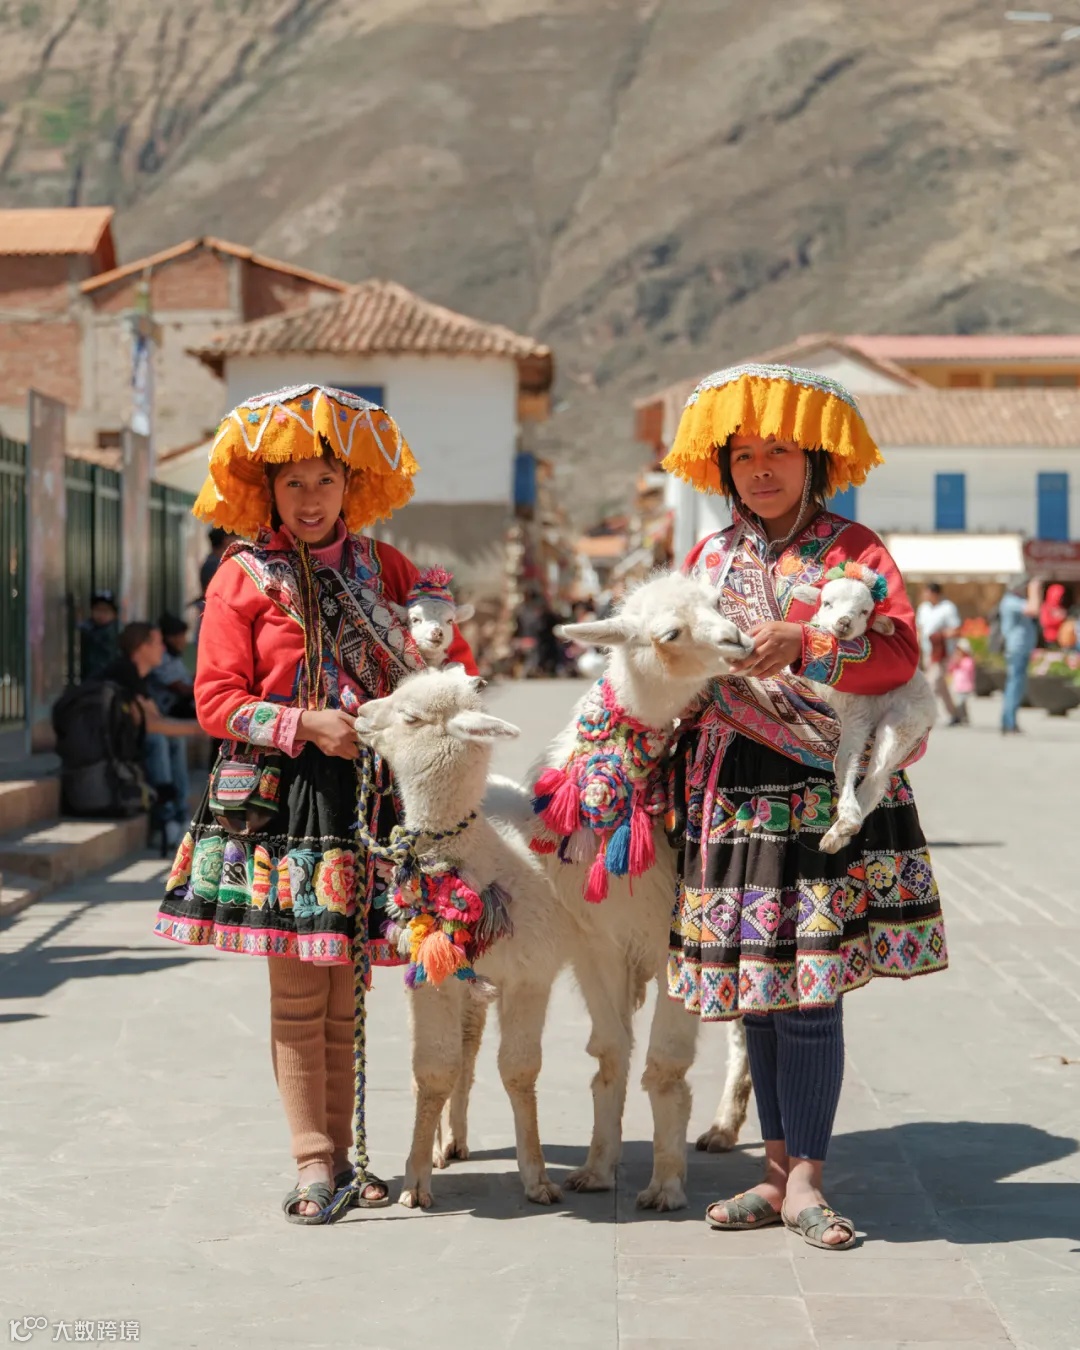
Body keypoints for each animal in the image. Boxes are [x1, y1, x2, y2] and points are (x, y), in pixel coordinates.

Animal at [353, 666, 565, 1210]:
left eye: (410, 716)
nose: (360, 712)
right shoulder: (432, 977)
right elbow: (431, 1073)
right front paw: (414, 1180)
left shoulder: (531, 973)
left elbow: (518, 1071)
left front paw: (537, 1177)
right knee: (455, 1058)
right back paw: (439, 1145)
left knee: (469, 1050)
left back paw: (456, 1138)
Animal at [444, 571, 758, 1211]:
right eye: (669, 632)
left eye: (720, 603)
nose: (738, 641)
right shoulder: (597, 942)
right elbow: (611, 1053)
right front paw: (595, 1170)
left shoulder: (673, 940)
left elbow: (664, 1065)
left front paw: (665, 1186)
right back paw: (721, 1128)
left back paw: (724, 1129)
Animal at [791, 568, 938, 855]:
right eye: (827, 603)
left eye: (864, 611)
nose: (844, 623)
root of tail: (932, 709)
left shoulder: (857, 713)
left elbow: (843, 761)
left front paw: (849, 816)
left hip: (903, 721)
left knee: (877, 778)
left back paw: (840, 830)